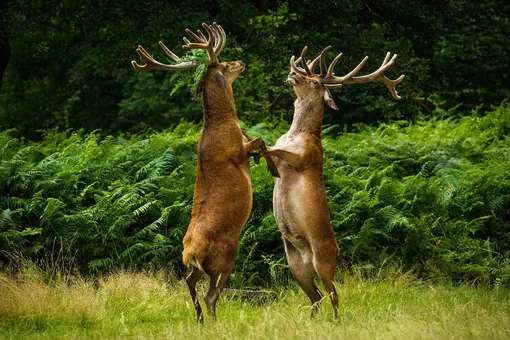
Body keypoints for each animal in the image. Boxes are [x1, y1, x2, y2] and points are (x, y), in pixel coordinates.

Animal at [129, 23, 276, 322]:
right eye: (226, 64)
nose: (241, 62)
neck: (223, 123)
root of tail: (190, 253)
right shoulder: (237, 150)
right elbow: (260, 142)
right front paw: (269, 165)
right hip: (224, 257)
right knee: (211, 295)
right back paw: (213, 321)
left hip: (196, 267)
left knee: (189, 282)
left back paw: (198, 318)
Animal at [262, 45, 402, 318]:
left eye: (315, 81)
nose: (292, 74)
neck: (296, 134)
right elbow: (269, 149)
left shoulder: (306, 157)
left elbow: (273, 149)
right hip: (296, 266)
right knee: (316, 297)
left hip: (324, 261)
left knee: (334, 295)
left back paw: (336, 321)